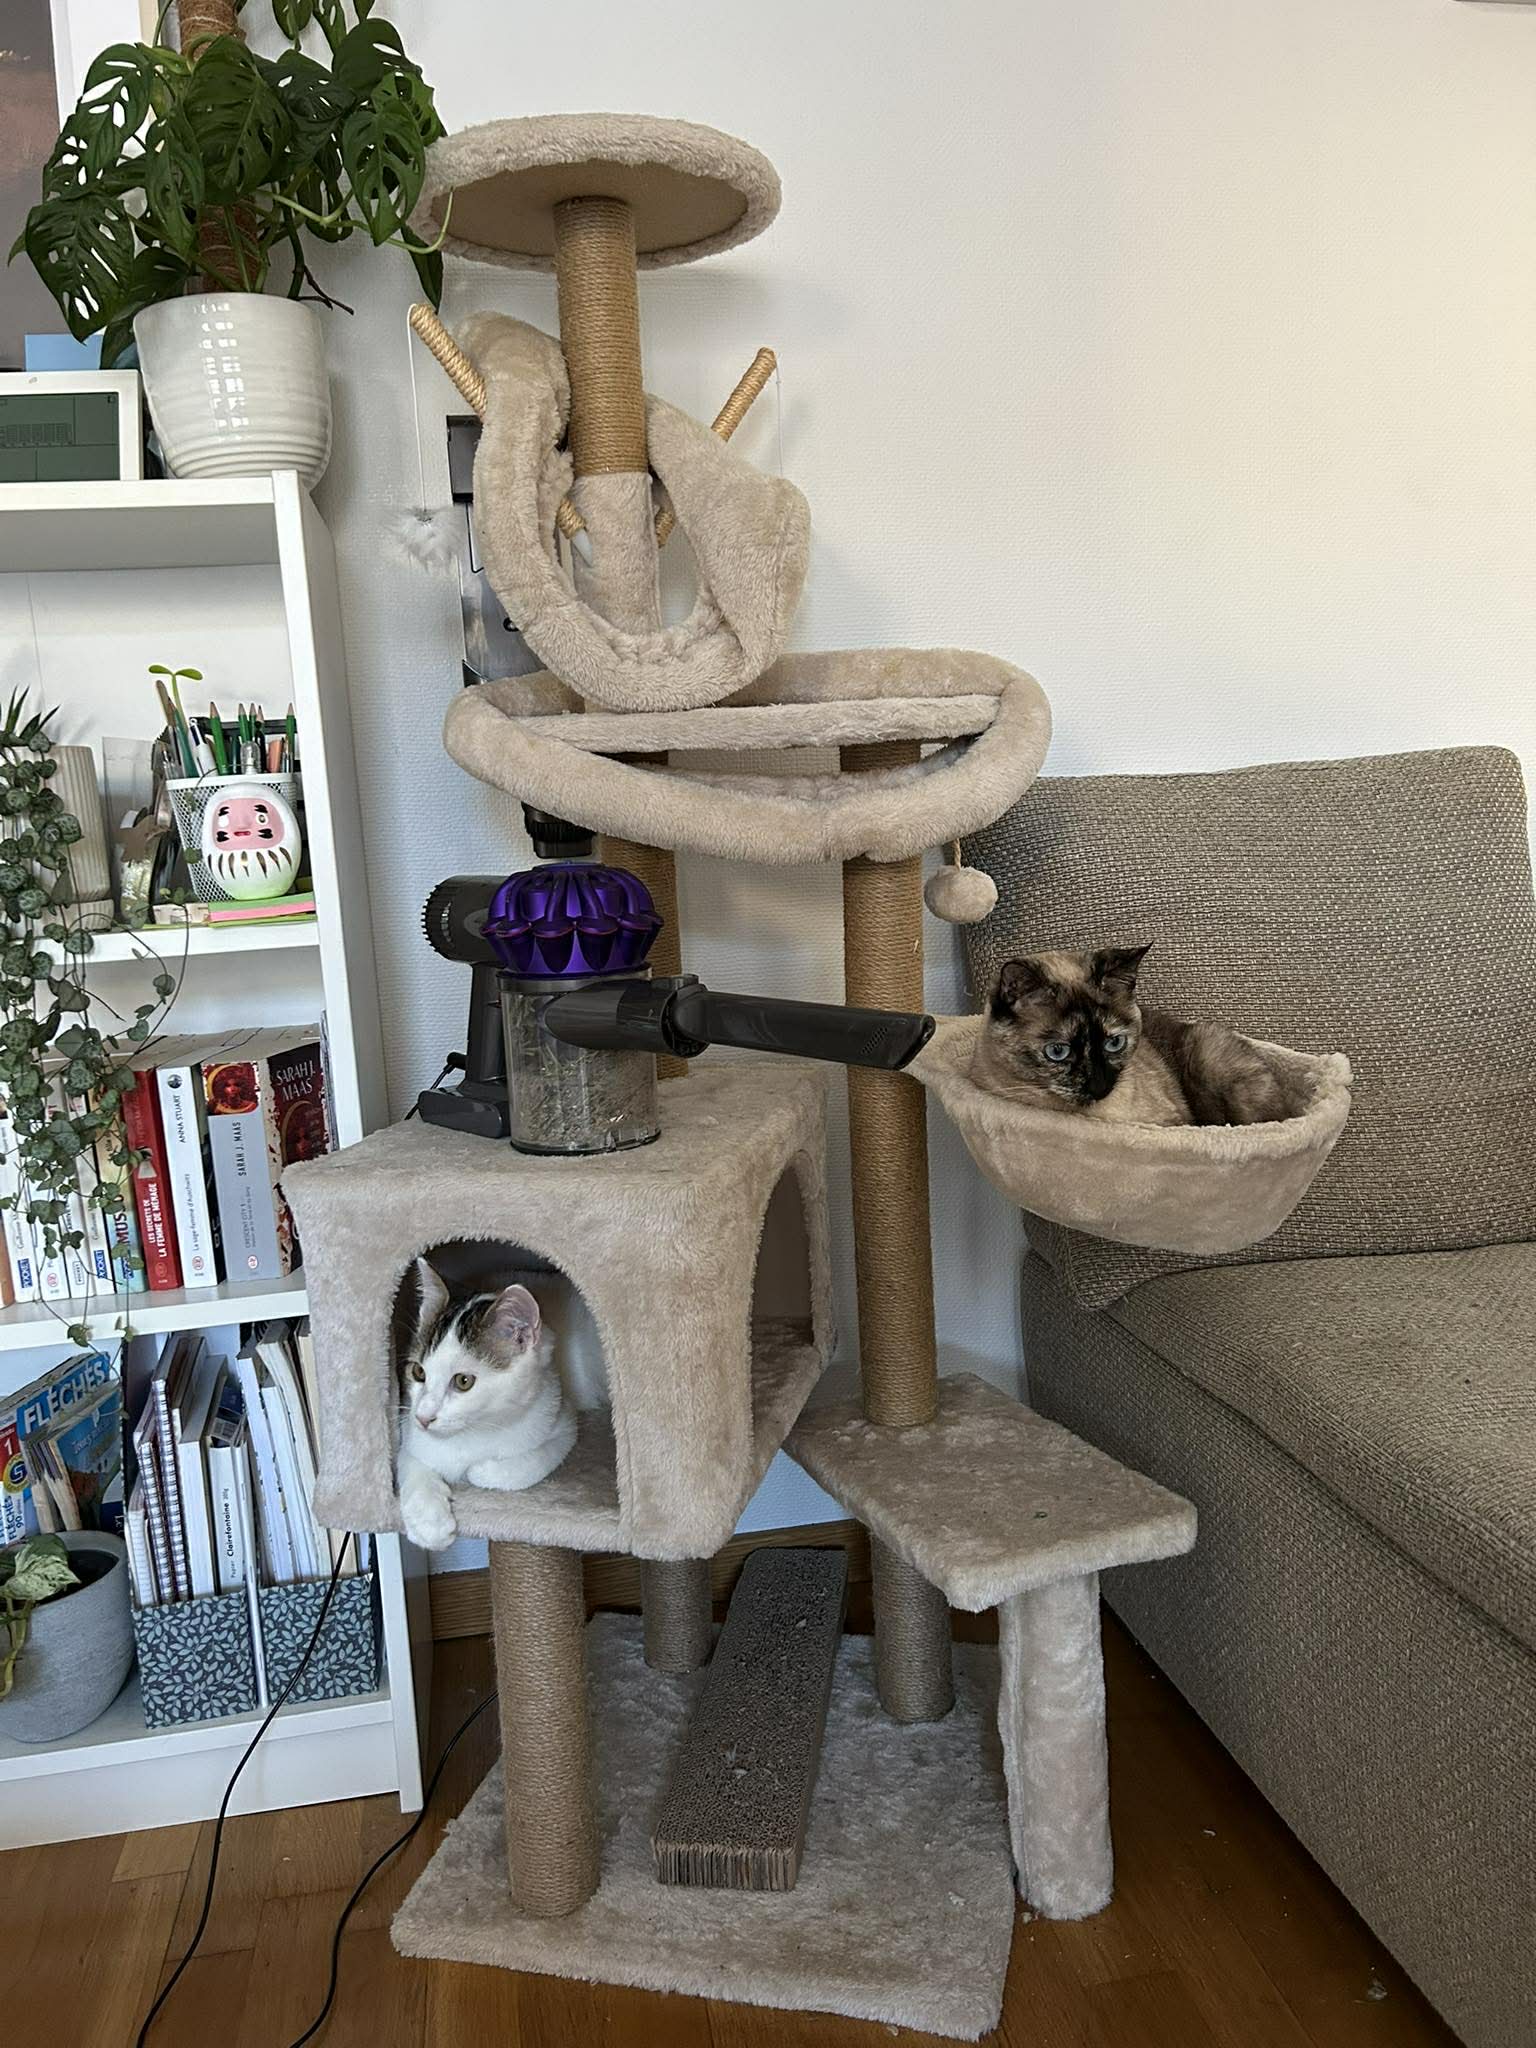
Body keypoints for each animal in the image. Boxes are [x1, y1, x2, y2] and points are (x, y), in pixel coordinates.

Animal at [395, 1258, 578, 1553]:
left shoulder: (564, 1419)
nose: (423, 1417)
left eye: (463, 1381)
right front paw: (429, 1520)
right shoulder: (408, 1429)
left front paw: (482, 1472)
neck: (471, 1433)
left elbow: (539, 1458)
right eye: (418, 1372)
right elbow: (410, 1460)